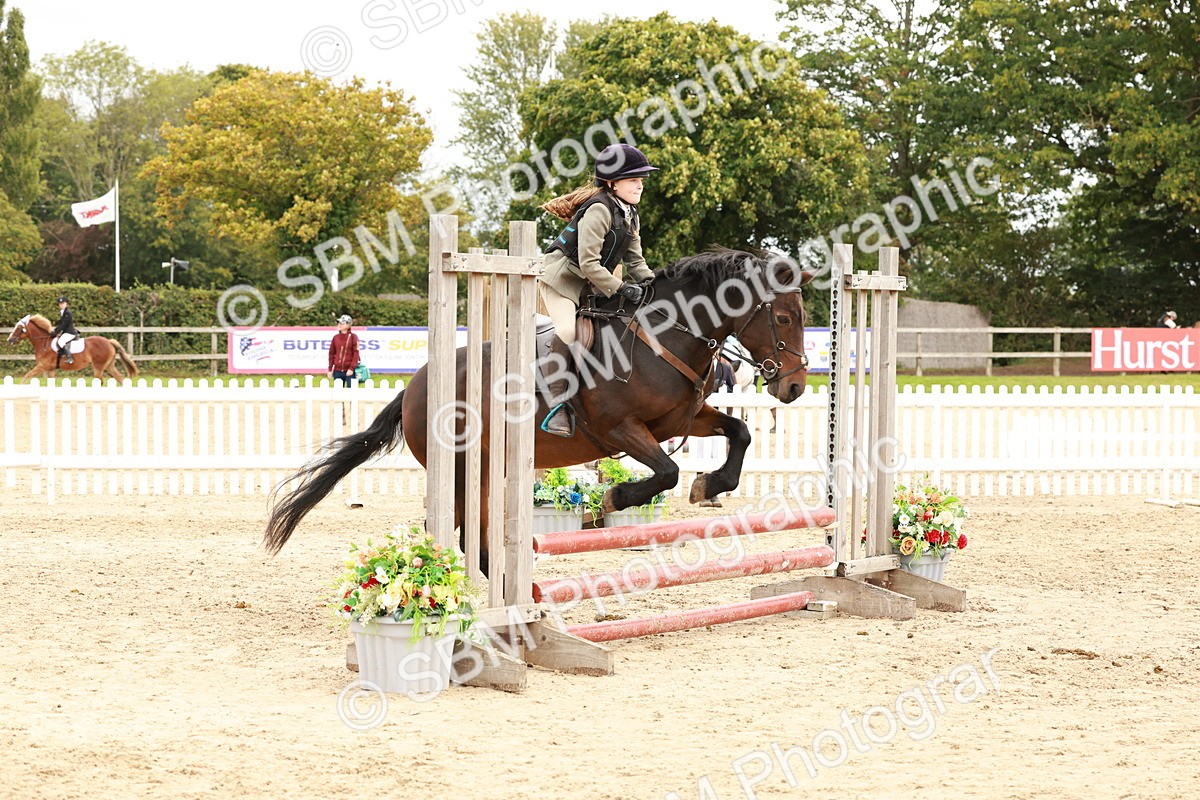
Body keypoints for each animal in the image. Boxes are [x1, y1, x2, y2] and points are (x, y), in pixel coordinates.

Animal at [6, 314, 139, 381]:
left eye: (19, 328)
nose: (9, 340)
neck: (43, 343)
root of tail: (109, 342)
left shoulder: (42, 366)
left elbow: (26, 376)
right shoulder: (50, 369)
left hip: (98, 367)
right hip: (109, 366)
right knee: (119, 378)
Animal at [264, 249, 814, 569]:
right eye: (785, 317)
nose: (794, 386)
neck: (667, 337)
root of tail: (416, 386)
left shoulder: (681, 420)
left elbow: (738, 433)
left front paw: (710, 486)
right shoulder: (619, 428)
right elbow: (666, 472)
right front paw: (613, 499)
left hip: (486, 469)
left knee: (473, 536)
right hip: (462, 466)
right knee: (455, 532)